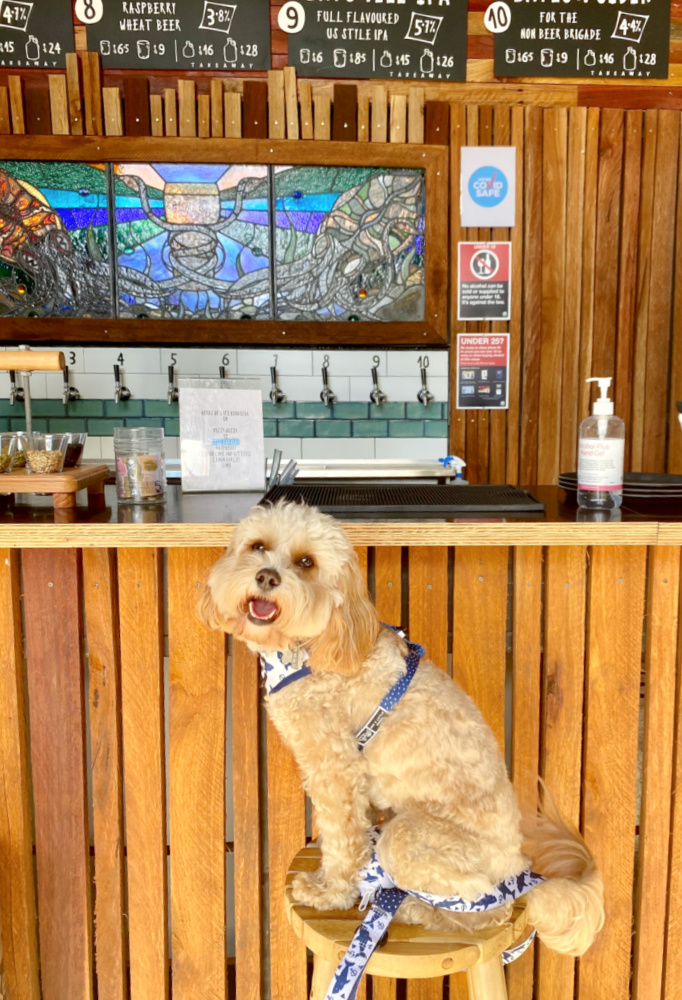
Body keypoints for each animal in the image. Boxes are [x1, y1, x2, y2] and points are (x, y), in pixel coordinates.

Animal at [199, 500, 604, 952]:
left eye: (306, 563)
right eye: (257, 546)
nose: (267, 576)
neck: (314, 648)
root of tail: (519, 869)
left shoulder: (335, 769)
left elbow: (341, 839)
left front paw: (329, 892)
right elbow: (356, 832)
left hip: (411, 837)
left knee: (488, 910)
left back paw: (414, 908)